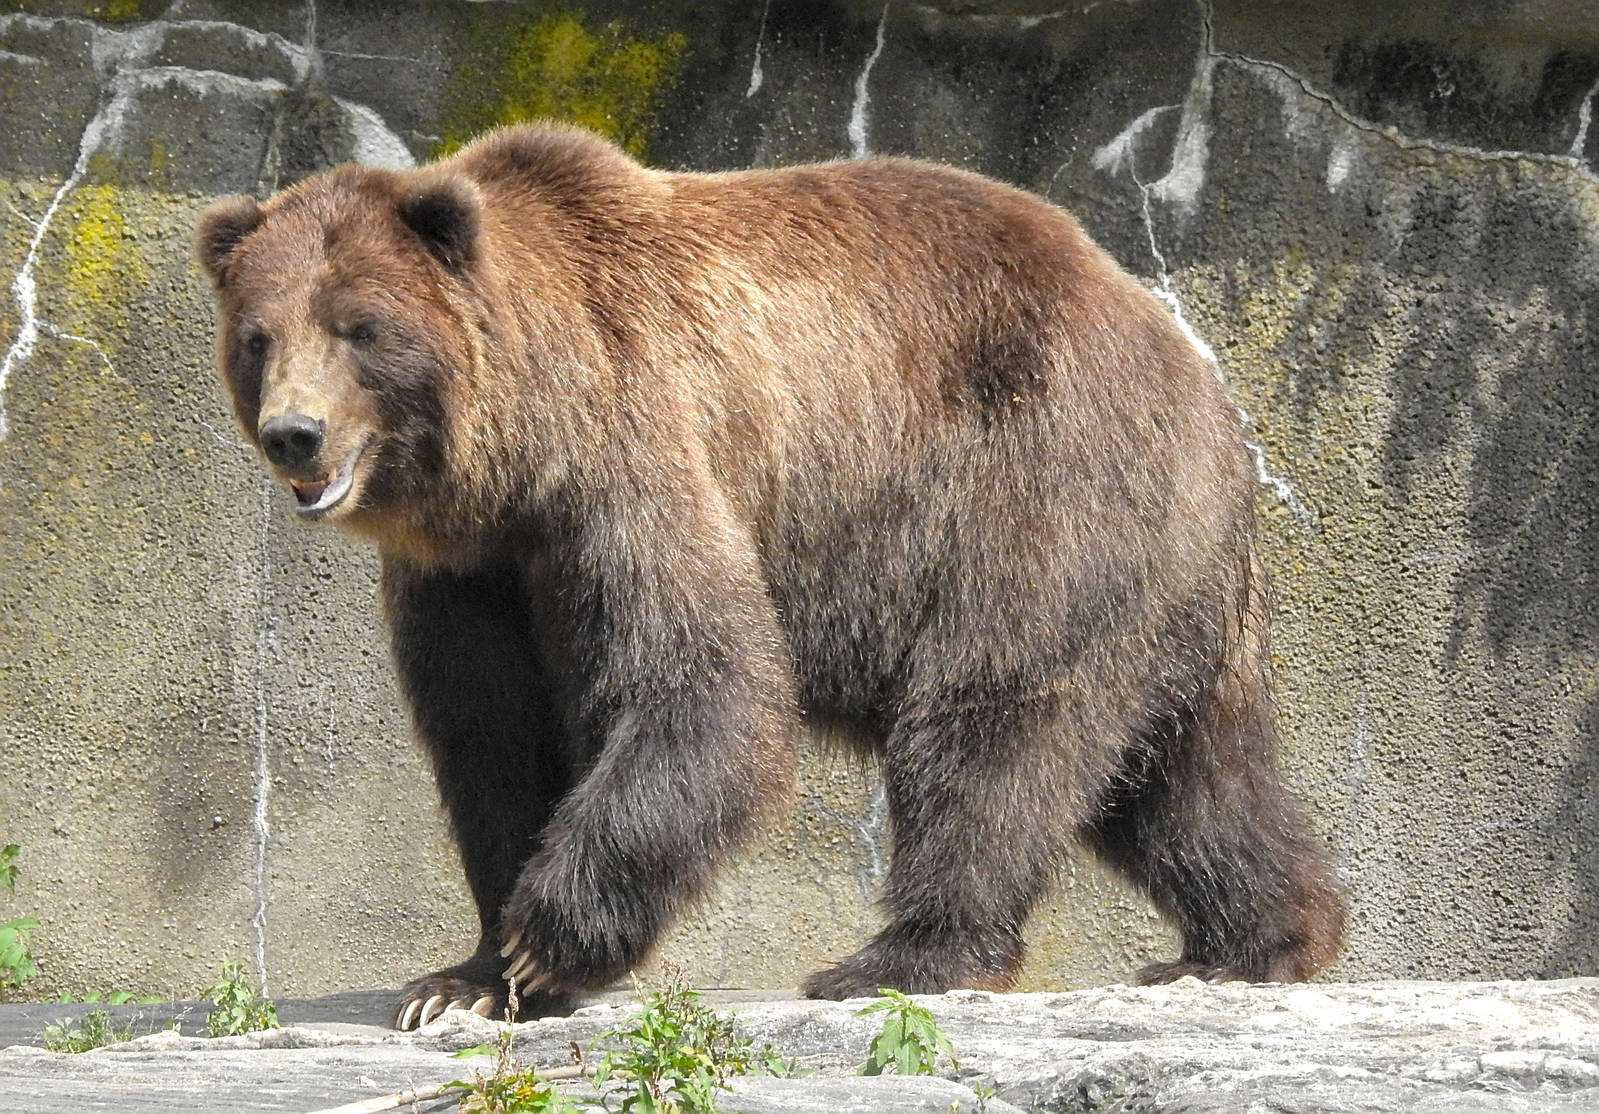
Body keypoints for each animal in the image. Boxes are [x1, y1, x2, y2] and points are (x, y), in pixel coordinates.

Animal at [195, 123, 1345, 1030]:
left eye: (360, 327)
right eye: (258, 336)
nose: (296, 434)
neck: (512, 455)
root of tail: (1202, 377)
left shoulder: (632, 457)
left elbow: (703, 682)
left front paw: (544, 936)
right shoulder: (471, 576)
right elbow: (491, 739)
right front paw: (462, 979)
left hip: (1042, 487)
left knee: (991, 724)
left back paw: (897, 957)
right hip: (1162, 579)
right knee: (1186, 776)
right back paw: (1249, 943)